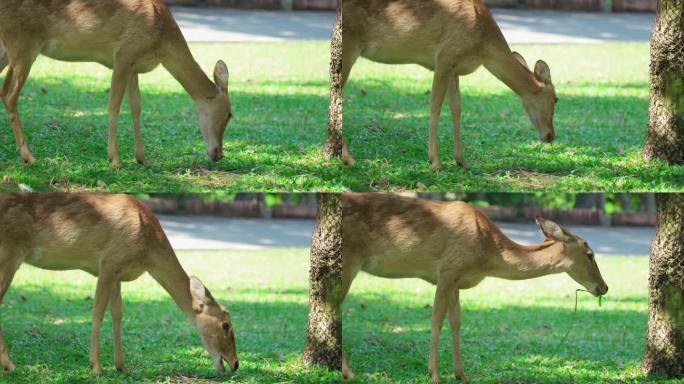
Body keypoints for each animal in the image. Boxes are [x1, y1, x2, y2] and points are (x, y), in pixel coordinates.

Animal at [0, 0, 232, 168]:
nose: (219, 154)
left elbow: (136, 107)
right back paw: (29, 156)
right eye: (230, 114)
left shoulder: (134, 67)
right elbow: (114, 106)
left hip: (9, 50)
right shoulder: (123, 55)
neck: (161, 43)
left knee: (3, 91)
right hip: (22, 45)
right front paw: (115, 160)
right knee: (10, 95)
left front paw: (142, 159)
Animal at [0, 194, 238, 374]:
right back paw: (11, 365)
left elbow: (117, 314)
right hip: (8, 255)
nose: (235, 364)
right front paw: (96, 367)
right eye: (226, 325)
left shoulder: (118, 274)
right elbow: (97, 312)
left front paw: (121, 367)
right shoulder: (108, 263)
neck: (147, 250)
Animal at [342, 194, 608, 382]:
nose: (603, 287)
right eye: (590, 254)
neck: (487, 255)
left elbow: (456, 322)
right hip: (348, 260)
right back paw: (348, 372)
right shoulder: (447, 270)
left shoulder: (457, 281)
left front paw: (460, 374)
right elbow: (436, 320)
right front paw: (434, 374)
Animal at [344, 0, 560, 170]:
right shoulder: (444, 57)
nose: (551, 135)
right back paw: (348, 159)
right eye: (556, 99)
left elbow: (456, 109)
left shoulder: (455, 69)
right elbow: (435, 105)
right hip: (349, 42)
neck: (483, 47)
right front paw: (435, 162)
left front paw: (462, 161)